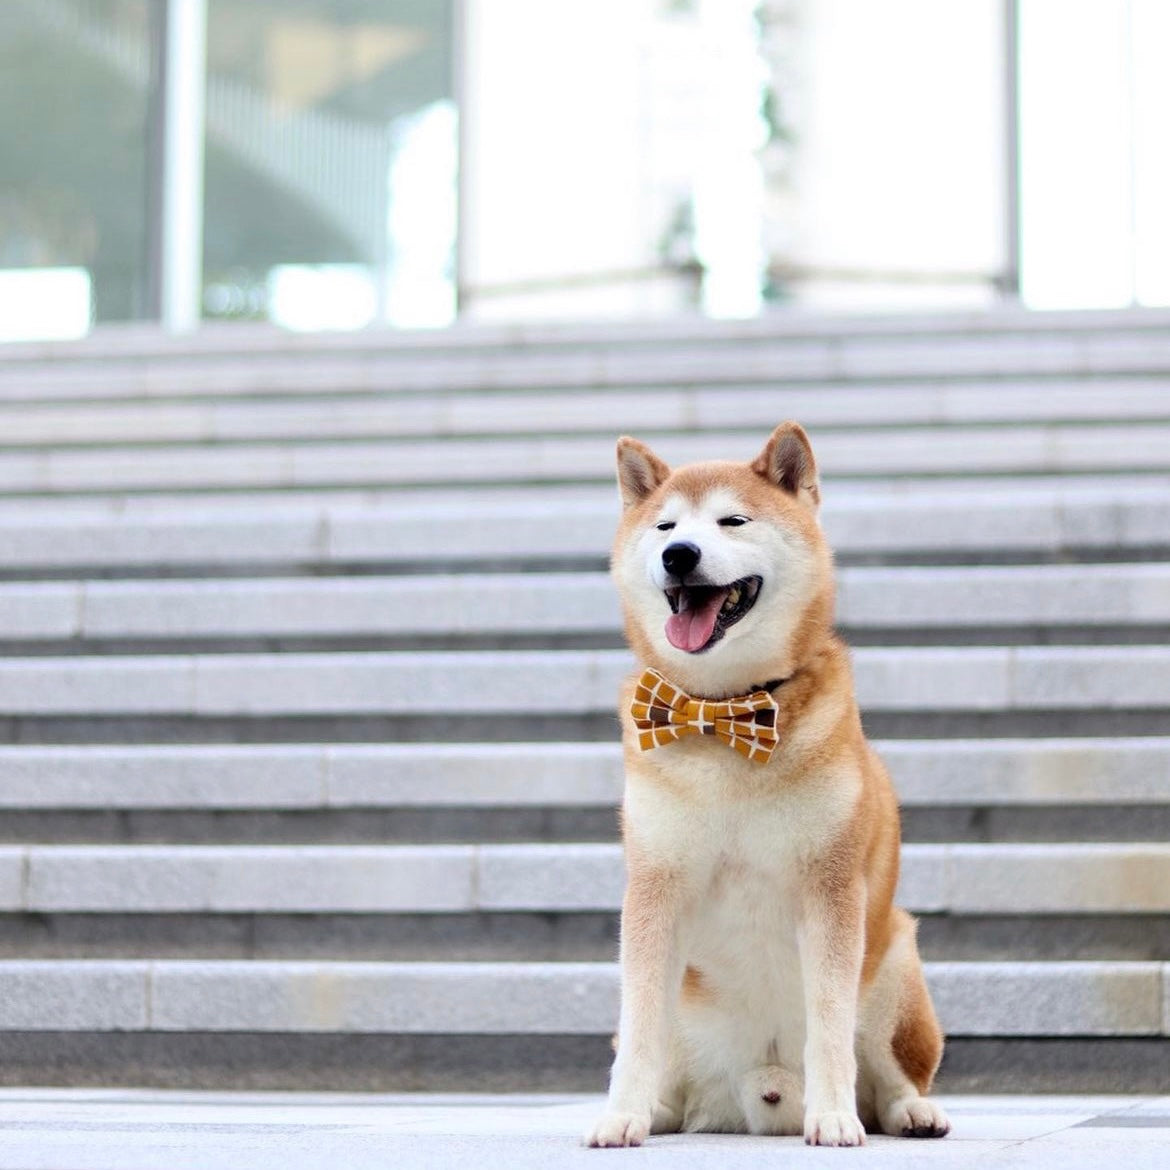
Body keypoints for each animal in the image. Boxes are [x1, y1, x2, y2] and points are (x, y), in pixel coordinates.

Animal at [585, 423, 950, 1151]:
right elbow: (639, 1024)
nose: (679, 554)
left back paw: (909, 1113)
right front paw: (620, 1114)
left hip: (896, 968)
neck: (723, 714)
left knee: (891, 1079)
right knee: (666, 1069)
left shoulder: (830, 890)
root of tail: (756, 1097)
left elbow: (830, 1021)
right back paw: (654, 1112)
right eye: (666, 525)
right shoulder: (655, 889)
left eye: (733, 520)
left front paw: (833, 1116)